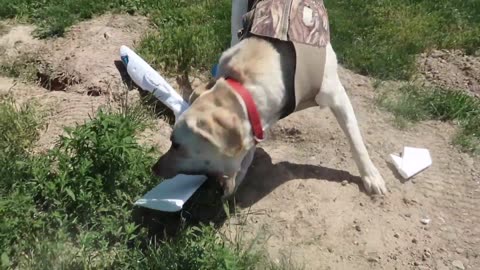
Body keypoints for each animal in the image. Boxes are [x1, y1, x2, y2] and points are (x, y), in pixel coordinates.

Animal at [153, 0, 386, 198]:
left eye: (176, 144)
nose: (154, 168)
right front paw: (238, 175)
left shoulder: (337, 95)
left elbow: (356, 139)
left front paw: (371, 175)